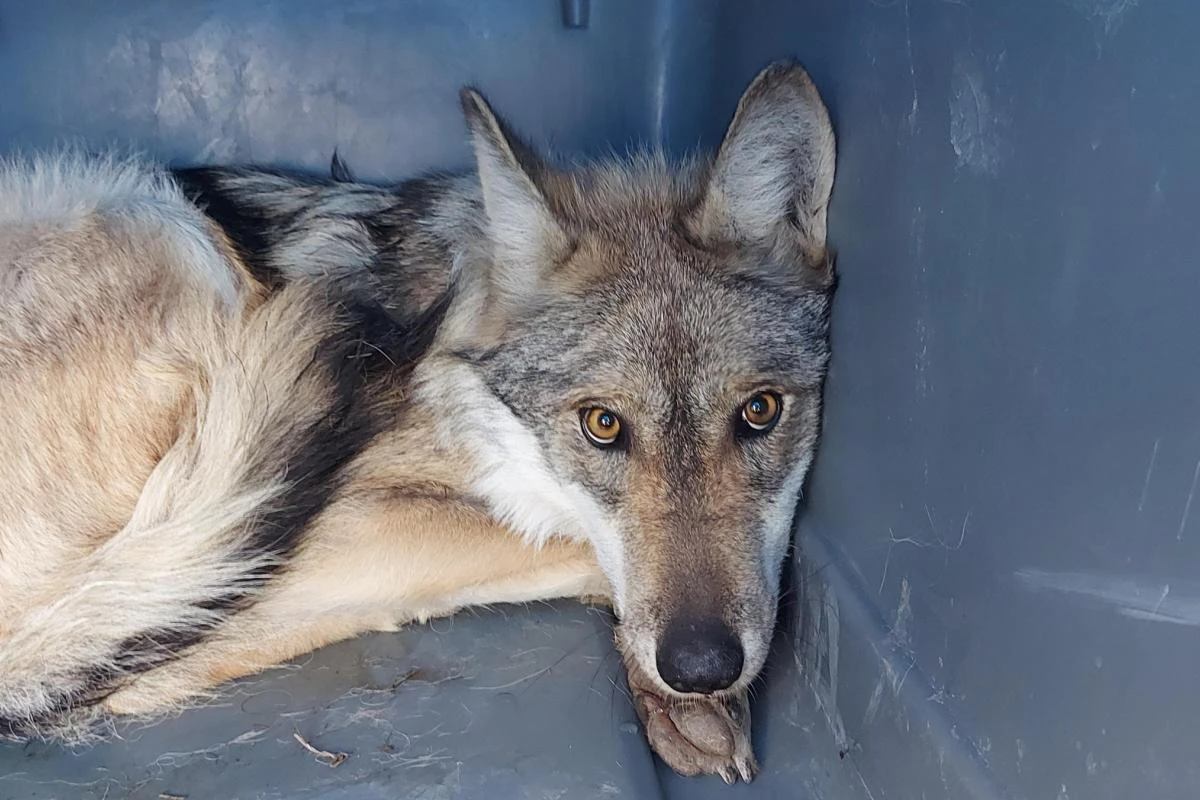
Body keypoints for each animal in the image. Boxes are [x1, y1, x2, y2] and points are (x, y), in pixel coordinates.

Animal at [0, 60, 836, 783]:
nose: (702, 668)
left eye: (759, 412)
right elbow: (572, 548)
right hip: (154, 227)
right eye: (603, 425)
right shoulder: (340, 522)